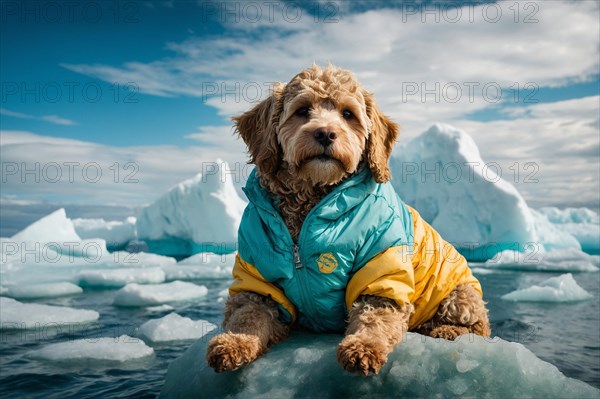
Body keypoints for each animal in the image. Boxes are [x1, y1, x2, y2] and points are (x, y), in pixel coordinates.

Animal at [206, 64, 488, 376]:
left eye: (348, 114)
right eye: (302, 110)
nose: (326, 133)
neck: (311, 201)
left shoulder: (381, 267)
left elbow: (376, 314)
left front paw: (363, 347)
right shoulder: (257, 275)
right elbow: (248, 314)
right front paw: (233, 343)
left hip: (460, 295)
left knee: (480, 328)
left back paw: (446, 331)